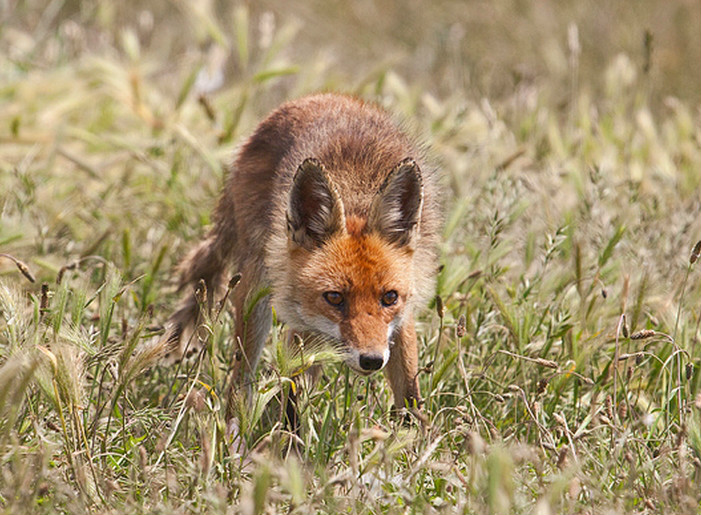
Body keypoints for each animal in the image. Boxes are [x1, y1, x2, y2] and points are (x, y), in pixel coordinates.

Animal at [162, 91, 440, 424]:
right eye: (334, 297)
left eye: (389, 297)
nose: (371, 360)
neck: (355, 194)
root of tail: (315, 97)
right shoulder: (302, 320)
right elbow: (290, 391)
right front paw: (288, 437)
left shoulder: (401, 319)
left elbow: (410, 395)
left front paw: (412, 437)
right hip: (258, 290)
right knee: (242, 377)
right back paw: (234, 428)